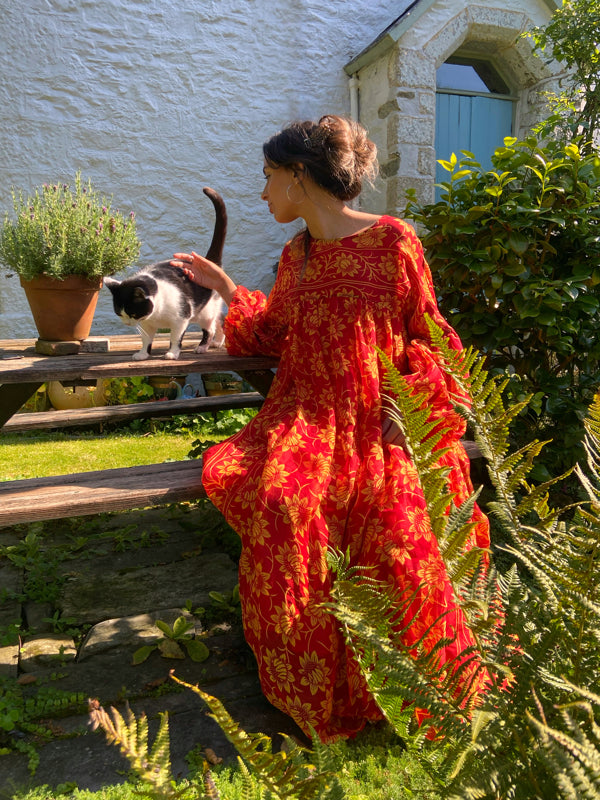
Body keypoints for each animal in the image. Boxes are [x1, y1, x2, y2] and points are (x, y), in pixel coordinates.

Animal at [104, 186, 226, 360]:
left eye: (132, 313)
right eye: (119, 313)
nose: (127, 323)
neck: (157, 314)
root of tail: (210, 262)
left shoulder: (181, 319)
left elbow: (175, 338)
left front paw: (172, 353)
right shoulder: (146, 323)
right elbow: (146, 339)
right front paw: (143, 354)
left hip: (205, 312)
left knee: (210, 329)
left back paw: (203, 347)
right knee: (220, 319)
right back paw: (217, 342)